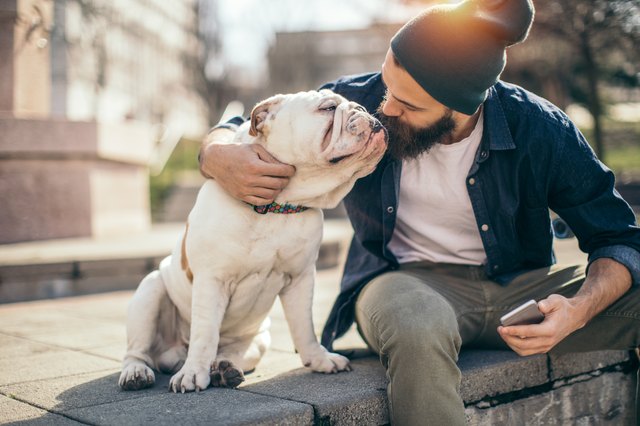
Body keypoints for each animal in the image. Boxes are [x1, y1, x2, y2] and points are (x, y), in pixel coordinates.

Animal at [118, 89, 388, 392]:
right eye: (328, 108)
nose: (363, 109)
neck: (278, 206)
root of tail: (173, 353)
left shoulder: (300, 279)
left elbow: (304, 326)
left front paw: (320, 359)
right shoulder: (212, 281)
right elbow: (204, 333)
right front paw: (192, 373)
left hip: (260, 340)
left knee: (233, 351)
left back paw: (224, 369)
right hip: (150, 292)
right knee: (139, 350)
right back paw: (138, 373)